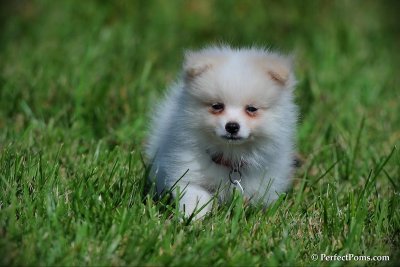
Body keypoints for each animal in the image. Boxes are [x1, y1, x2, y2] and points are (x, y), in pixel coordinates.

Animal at [146, 45, 296, 219]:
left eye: (251, 109)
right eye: (217, 106)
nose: (232, 126)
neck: (230, 156)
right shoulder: (188, 172)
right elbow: (194, 195)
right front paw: (191, 217)